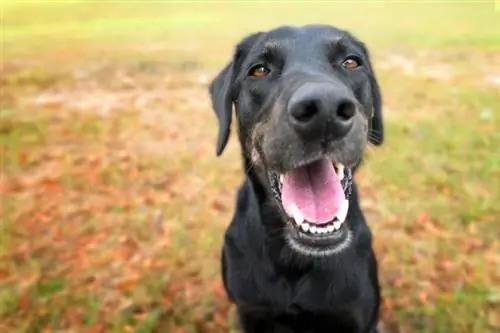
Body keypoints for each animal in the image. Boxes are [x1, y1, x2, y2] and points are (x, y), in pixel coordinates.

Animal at [209, 24, 384, 330]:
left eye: (351, 62)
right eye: (259, 70)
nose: (325, 109)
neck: (296, 260)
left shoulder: (358, 317)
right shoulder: (251, 312)